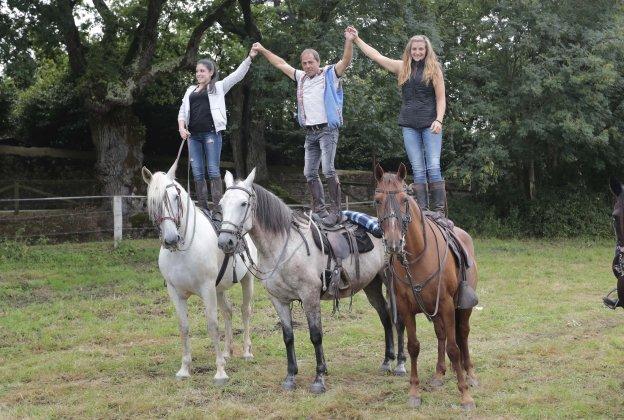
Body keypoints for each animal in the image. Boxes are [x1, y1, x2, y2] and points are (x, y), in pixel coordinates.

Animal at [141, 162, 256, 388]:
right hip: (219, 290)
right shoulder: (175, 292)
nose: (170, 239)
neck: (185, 249)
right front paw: (185, 369)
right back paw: (228, 351)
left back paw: (246, 352)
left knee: (245, 311)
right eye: (153, 202)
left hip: (246, 280)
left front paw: (220, 372)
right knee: (228, 312)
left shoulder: (206, 289)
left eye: (176, 198)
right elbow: (184, 327)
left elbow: (212, 325)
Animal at [376, 164, 478, 410]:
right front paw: (414, 392)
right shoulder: (405, 308)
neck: (417, 256)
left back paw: (469, 373)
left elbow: (454, 348)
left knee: (462, 334)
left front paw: (465, 395)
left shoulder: (448, 305)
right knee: (441, 335)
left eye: (404, 199)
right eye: (377, 200)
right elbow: (414, 346)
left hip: (463, 308)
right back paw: (439, 374)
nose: (393, 243)